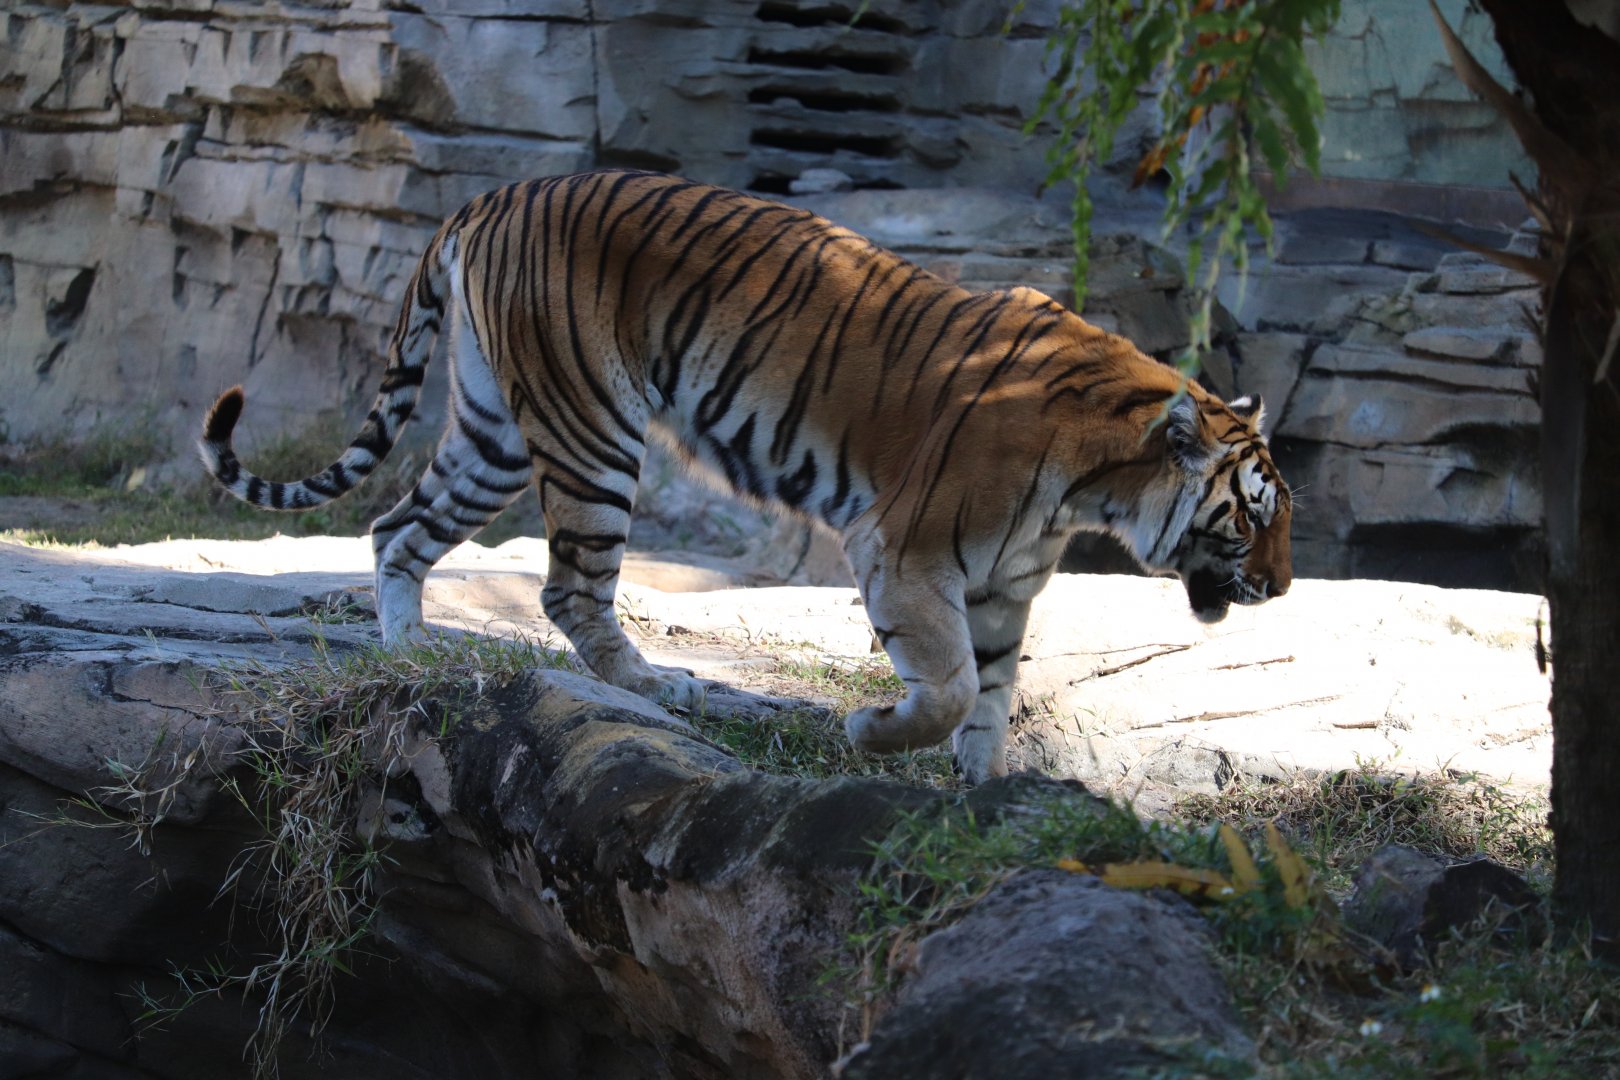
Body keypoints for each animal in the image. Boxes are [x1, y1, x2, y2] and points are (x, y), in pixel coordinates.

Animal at [199, 169, 1292, 784]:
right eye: (1251, 517)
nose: (1283, 590)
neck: (1096, 483)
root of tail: (491, 194)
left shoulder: (1001, 588)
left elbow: (989, 695)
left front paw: (985, 798)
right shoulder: (903, 552)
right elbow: (945, 688)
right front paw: (872, 736)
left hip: (496, 431)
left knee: (398, 529)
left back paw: (410, 653)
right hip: (592, 431)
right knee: (570, 589)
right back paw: (657, 686)